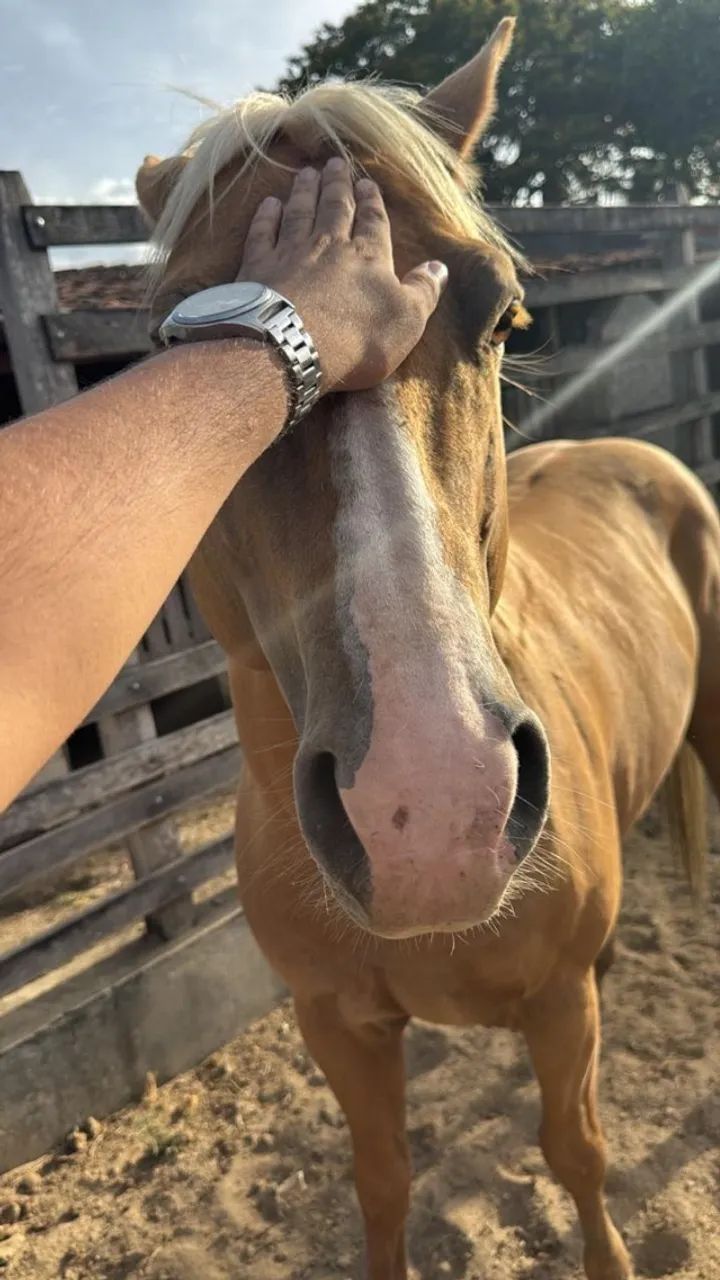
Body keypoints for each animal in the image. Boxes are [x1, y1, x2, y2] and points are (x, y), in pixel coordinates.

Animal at [136, 19, 720, 1279]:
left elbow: (580, 1154)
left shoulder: (557, 1004)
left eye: (504, 317)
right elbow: (385, 1184)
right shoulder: (338, 1027)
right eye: (177, 342)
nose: (431, 804)